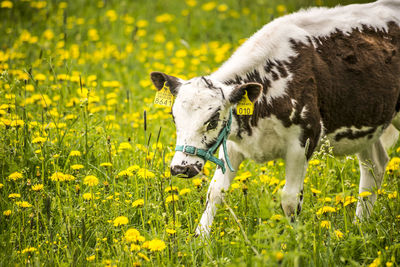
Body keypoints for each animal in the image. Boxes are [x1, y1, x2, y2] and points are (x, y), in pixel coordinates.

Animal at [150, 0, 400, 237]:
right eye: (174, 118)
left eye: (212, 120)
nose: (180, 168)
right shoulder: (231, 144)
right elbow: (215, 192)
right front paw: (200, 240)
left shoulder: (304, 140)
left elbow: (290, 199)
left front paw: (294, 242)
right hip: (367, 122)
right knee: (374, 165)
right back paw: (360, 227)